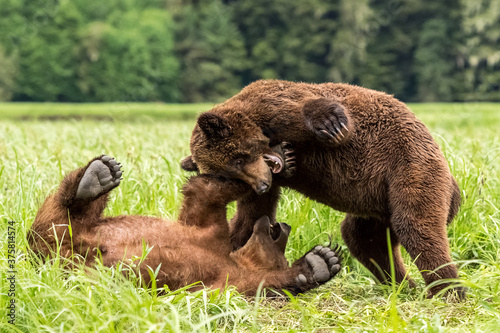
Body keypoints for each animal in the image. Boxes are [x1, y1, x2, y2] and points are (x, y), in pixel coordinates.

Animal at [26, 154, 340, 294]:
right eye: (282, 244)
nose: (284, 226)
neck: (235, 257)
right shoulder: (209, 229)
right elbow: (207, 193)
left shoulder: (227, 277)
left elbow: (257, 285)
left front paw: (319, 261)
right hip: (62, 235)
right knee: (57, 215)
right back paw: (97, 175)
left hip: (62, 254)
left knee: (55, 226)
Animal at [183, 79, 464, 296]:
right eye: (227, 175)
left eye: (238, 159)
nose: (261, 184)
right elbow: (249, 217)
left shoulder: (275, 105)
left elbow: (313, 112)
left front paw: (332, 123)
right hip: (378, 202)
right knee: (364, 237)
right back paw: (402, 284)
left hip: (408, 166)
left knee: (416, 224)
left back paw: (448, 289)